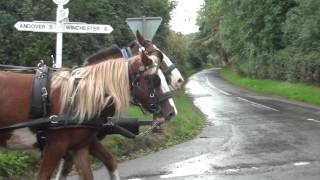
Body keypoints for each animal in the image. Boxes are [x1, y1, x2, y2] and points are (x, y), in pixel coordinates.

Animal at [0, 45, 176, 179]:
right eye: (154, 80)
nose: (171, 112)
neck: (78, 95)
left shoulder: (81, 145)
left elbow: (104, 165)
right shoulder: (56, 146)